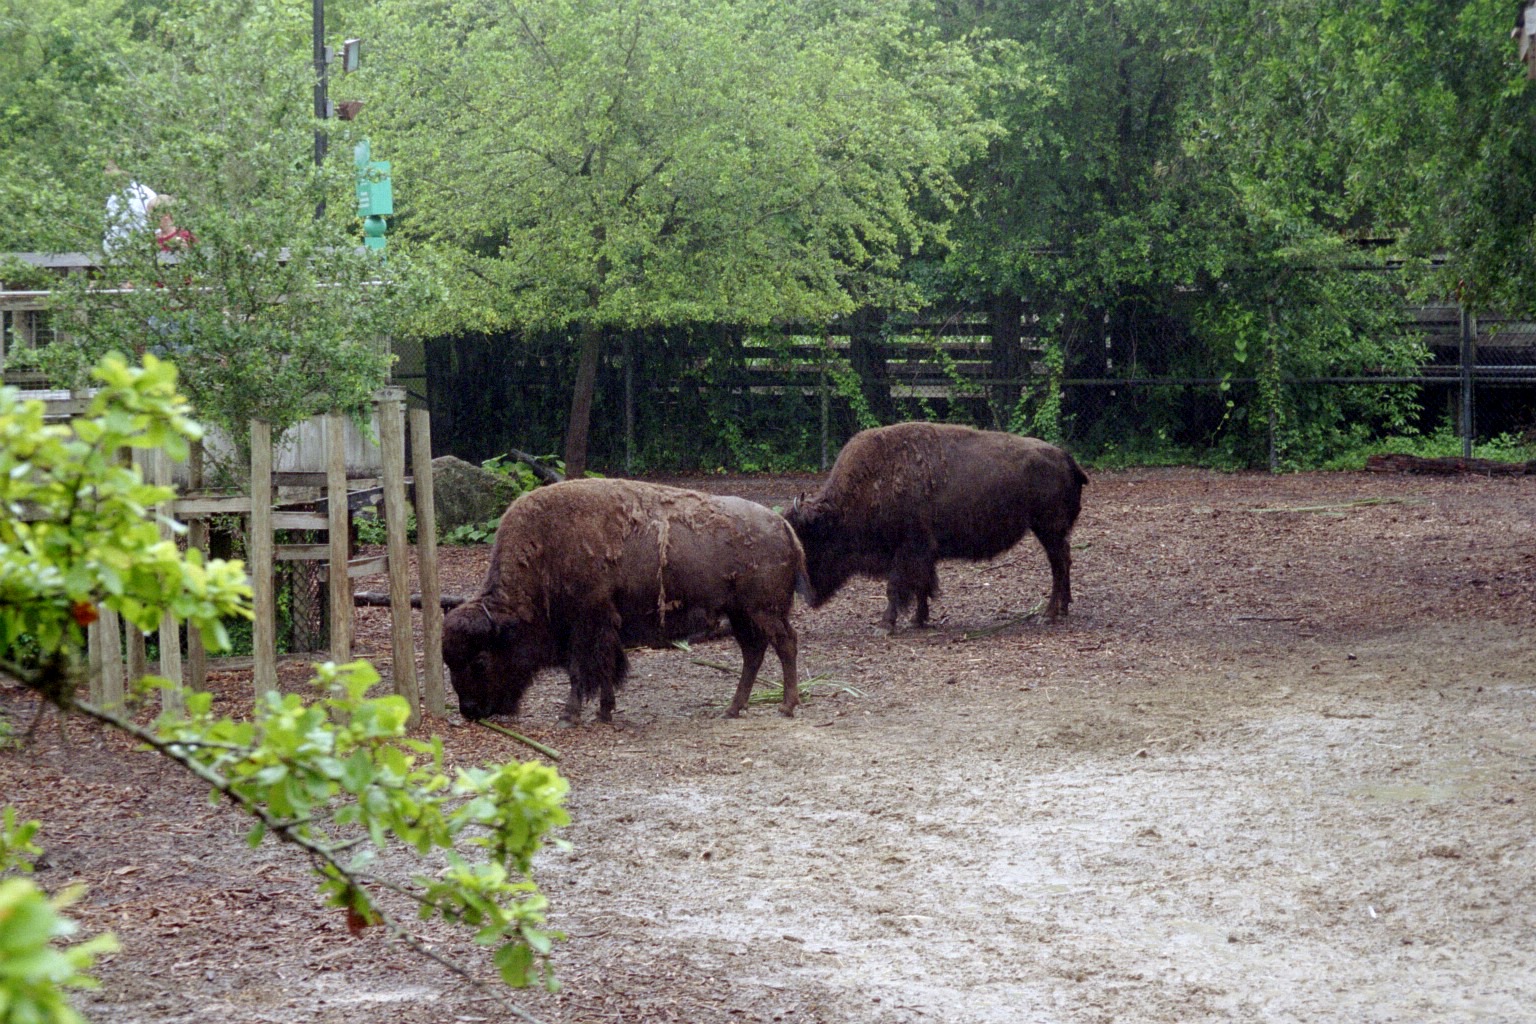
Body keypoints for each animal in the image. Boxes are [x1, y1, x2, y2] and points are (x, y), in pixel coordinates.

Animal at [443, 478, 804, 724]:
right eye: (449, 662)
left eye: (480, 661)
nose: (470, 711)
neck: (544, 552)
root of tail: (783, 525)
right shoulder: (605, 628)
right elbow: (606, 669)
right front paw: (604, 712)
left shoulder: (587, 625)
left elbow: (582, 670)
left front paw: (570, 715)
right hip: (741, 614)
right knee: (754, 652)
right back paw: (732, 708)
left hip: (763, 611)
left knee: (785, 643)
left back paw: (785, 706)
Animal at [784, 422, 1088, 631]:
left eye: (810, 540)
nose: (807, 596)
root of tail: (1065, 457)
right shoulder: (921, 553)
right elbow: (922, 585)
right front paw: (919, 620)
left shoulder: (908, 549)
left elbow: (897, 587)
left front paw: (886, 624)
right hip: (1051, 531)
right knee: (1065, 560)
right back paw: (1063, 608)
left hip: (1047, 529)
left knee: (1058, 564)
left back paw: (1048, 615)